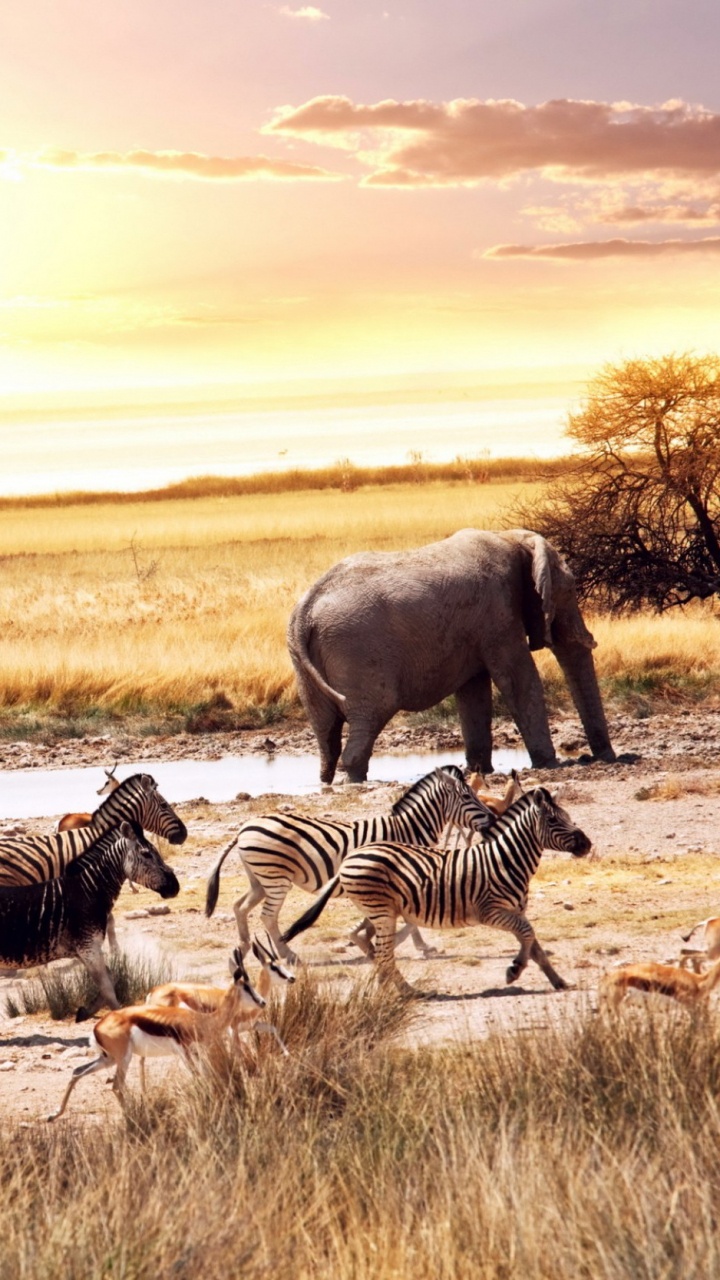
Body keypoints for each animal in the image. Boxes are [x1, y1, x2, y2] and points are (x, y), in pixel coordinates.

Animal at [0, 820, 179, 1018]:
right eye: (147, 854)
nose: (175, 887)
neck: (88, 890)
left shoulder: (83, 951)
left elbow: (110, 977)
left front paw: (86, 1011)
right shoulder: (89, 948)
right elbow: (108, 989)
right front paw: (117, 1018)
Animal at [205, 765, 496, 961]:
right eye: (468, 797)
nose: (493, 819)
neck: (407, 830)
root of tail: (245, 827)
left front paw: (386, 942)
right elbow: (407, 919)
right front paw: (409, 945)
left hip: (259, 879)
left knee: (240, 906)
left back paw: (244, 946)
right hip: (276, 879)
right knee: (267, 916)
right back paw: (287, 953)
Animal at [280, 787, 591, 993]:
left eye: (567, 816)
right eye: (553, 820)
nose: (586, 844)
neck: (505, 859)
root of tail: (351, 856)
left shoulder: (516, 911)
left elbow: (535, 945)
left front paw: (558, 980)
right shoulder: (490, 911)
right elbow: (527, 935)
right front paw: (513, 971)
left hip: (380, 911)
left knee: (371, 945)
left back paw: (389, 987)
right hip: (382, 911)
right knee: (383, 953)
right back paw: (405, 990)